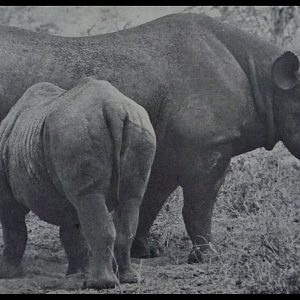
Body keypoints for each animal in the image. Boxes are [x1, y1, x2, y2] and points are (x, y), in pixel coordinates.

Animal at [0, 14, 300, 262]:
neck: (266, 80)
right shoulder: (208, 147)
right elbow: (200, 205)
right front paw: (208, 257)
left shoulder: (165, 152)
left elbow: (150, 202)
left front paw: (144, 251)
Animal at [0, 78, 156, 290]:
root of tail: (114, 107)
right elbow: (73, 233)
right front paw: (76, 275)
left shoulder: (7, 194)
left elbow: (14, 229)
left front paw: (7, 275)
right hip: (139, 127)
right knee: (130, 199)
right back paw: (128, 279)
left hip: (77, 132)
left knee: (90, 198)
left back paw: (100, 284)